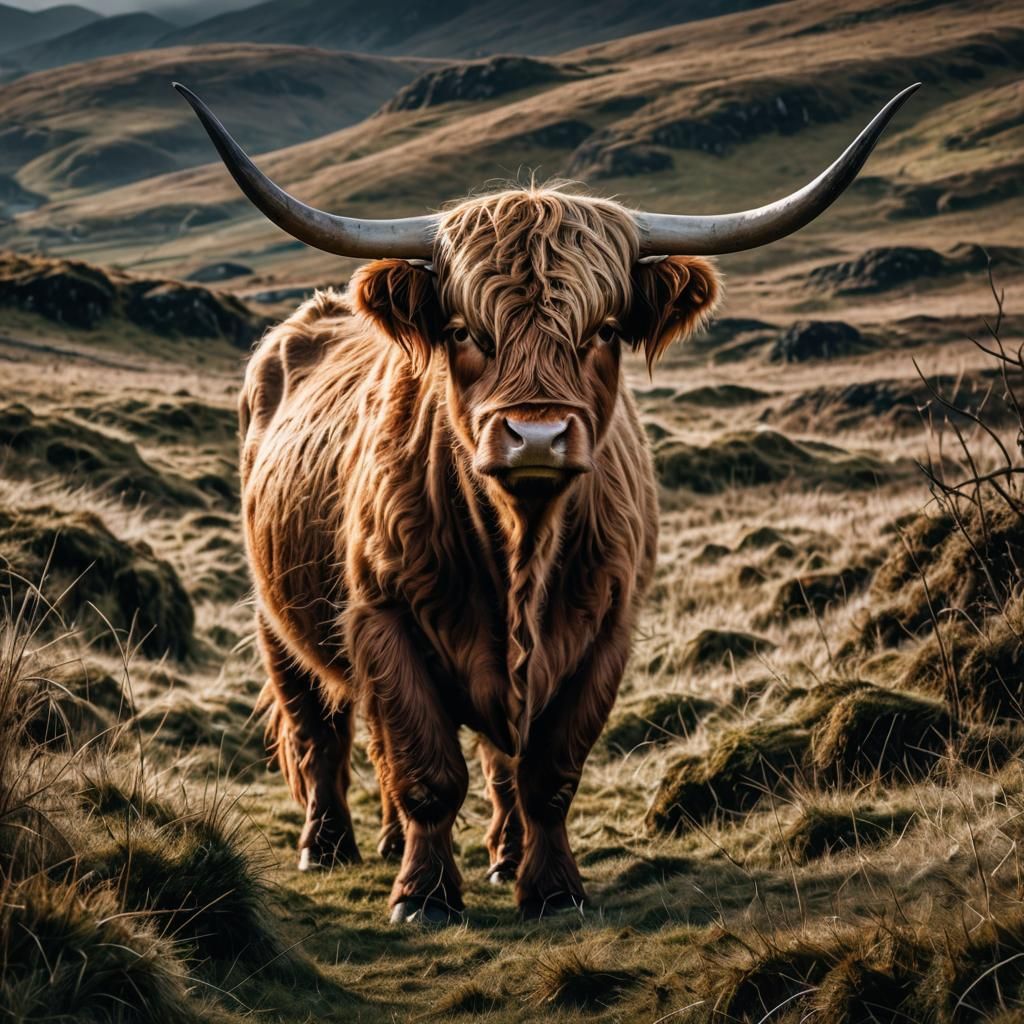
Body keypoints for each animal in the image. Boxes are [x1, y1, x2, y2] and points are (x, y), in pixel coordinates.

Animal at [176, 82, 918, 923]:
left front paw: (552, 887)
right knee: (321, 730)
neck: (519, 548)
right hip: (276, 617)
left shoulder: (604, 632)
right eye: (464, 330)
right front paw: (425, 897)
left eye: (604, 330)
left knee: (484, 759)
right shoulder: (382, 618)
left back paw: (488, 855)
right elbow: (425, 768)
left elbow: (546, 774)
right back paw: (328, 845)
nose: (535, 435)